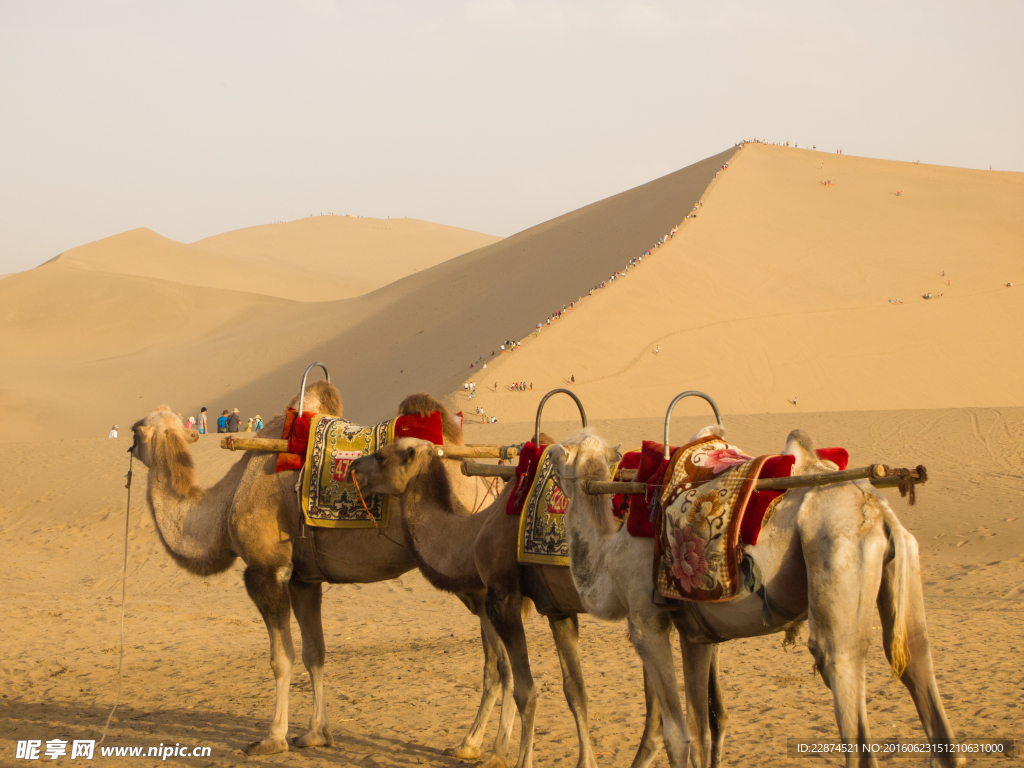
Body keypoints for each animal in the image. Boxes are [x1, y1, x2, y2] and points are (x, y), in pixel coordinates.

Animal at [129, 385, 507, 757]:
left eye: (135, 429)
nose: (131, 445)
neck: (226, 503)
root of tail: (489, 486)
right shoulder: (303, 579)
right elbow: (315, 653)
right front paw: (316, 734)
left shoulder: (266, 571)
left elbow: (281, 658)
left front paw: (273, 738)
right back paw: (472, 744)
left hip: (471, 577)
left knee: (499, 659)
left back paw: (482, 746)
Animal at [348, 421, 667, 768]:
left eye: (381, 456)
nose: (352, 467)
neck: (473, 534)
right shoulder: (558, 609)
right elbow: (575, 690)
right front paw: (586, 763)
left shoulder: (503, 598)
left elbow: (525, 690)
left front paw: (519, 760)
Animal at [552, 428, 958, 768]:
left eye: (558, 455)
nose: (550, 464)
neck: (608, 555)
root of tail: (879, 510)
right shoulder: (695, 634)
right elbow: (700, 732)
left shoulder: (645, 620)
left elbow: (678, 737)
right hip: (901, 568)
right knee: (915, 660)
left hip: (836, 548)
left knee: (837, 663)